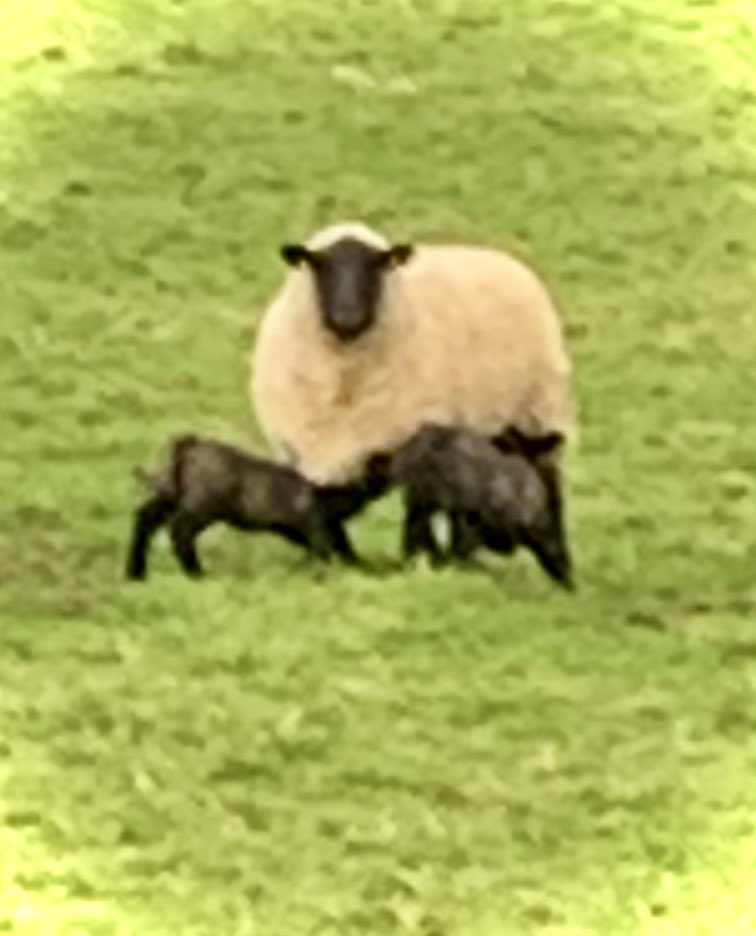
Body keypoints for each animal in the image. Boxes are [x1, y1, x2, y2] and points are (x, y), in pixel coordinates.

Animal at [125, 434, 332, 580]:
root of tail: (189, 446)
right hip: (198, 508)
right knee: (178, 529)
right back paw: (196, 573)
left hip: (169, 497)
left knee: (145, 519)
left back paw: (136, 573)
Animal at [250, 220, 575, 560]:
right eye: (318, 264)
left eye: (378, 263)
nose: (347, 316)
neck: (344, 378)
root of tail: (494, 254)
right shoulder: (306, 449)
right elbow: (319, 506)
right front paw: (334, 558)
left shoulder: (410, 443)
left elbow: (416, 510)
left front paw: (416, 558)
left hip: (537, 413)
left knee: (548, 489)